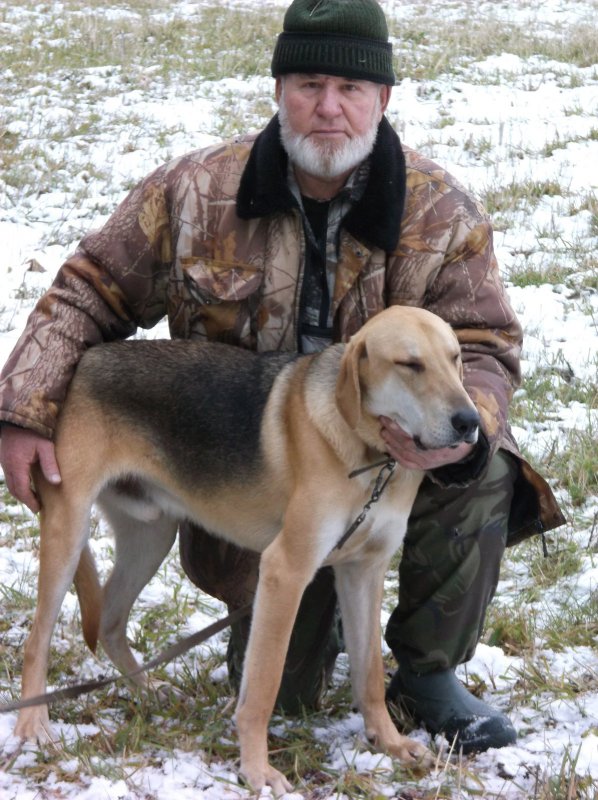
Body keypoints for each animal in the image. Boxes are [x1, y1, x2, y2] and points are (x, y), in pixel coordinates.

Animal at [15, 304, 482, 792]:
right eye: (410, 365)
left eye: (454, 358)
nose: (469, 422)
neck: (371, 458)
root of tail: (80, 361)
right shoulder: (285, 571)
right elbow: (263, 686)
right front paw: (257, 770)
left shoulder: (364, 573)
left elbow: (370, 673)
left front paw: (388, 742)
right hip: (69, 532)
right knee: (37, 640)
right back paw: (33, 726)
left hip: (151, 535)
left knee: (109, 618)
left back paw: (146, 689)